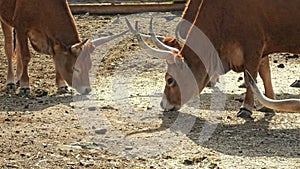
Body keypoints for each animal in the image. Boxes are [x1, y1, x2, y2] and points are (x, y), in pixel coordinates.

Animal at [126, 0, 300, 117]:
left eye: (169, 80)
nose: (163, 104)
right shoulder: (262, 50)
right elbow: (265, 73)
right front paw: (269, 104)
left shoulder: (253, 46)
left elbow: (250, 77)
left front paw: (246, 108)